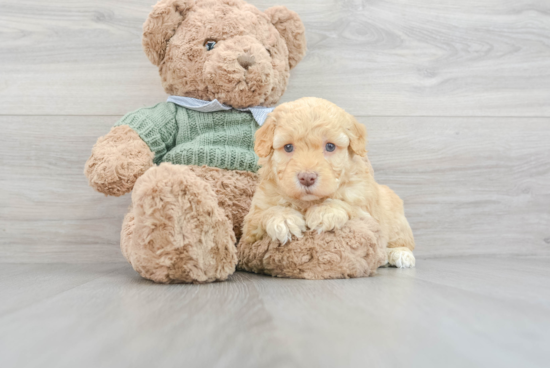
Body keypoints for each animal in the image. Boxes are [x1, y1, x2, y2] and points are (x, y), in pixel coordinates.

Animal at [244, 96, 416, 268]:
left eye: (330, 146)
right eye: (288, 147)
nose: (307, 178)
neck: (309, 201)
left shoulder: (366, 210)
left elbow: (349, 206)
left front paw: (325, 211)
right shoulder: (252, 221)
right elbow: (264, 214)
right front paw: (283, 219)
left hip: (396, 220)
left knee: (402, 241)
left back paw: (399, 253)